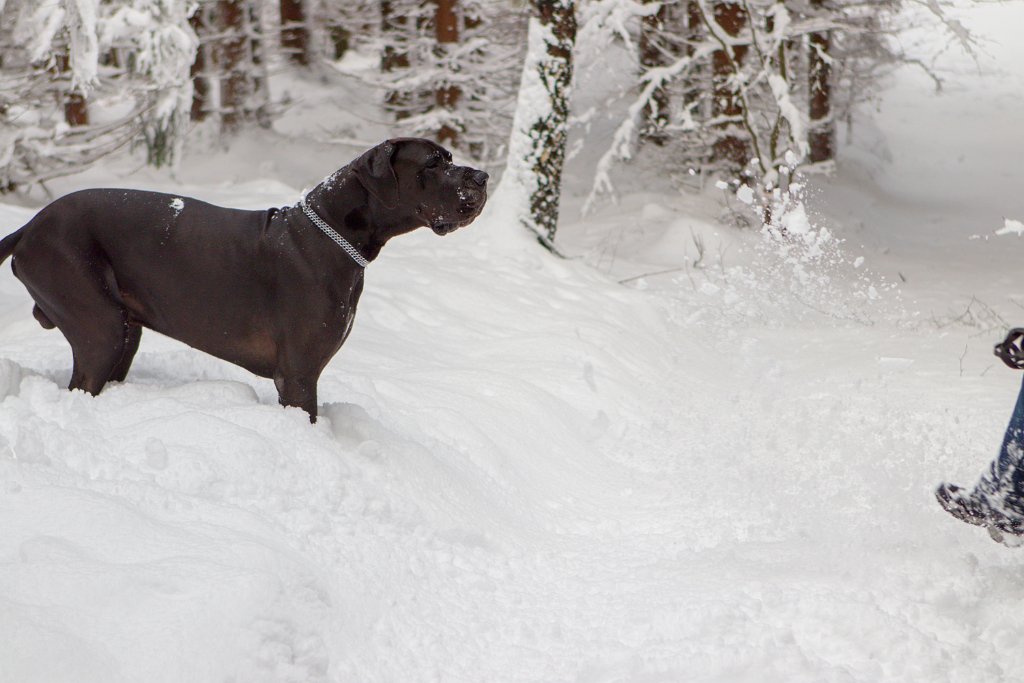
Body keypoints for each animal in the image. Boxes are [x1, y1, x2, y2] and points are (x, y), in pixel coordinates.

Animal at [0, 137, 489, 419]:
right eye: (433, 164)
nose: (482, 177)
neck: (333, 237)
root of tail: (30, 227)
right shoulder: (297, 375)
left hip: (124, 332)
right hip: (99, 327)